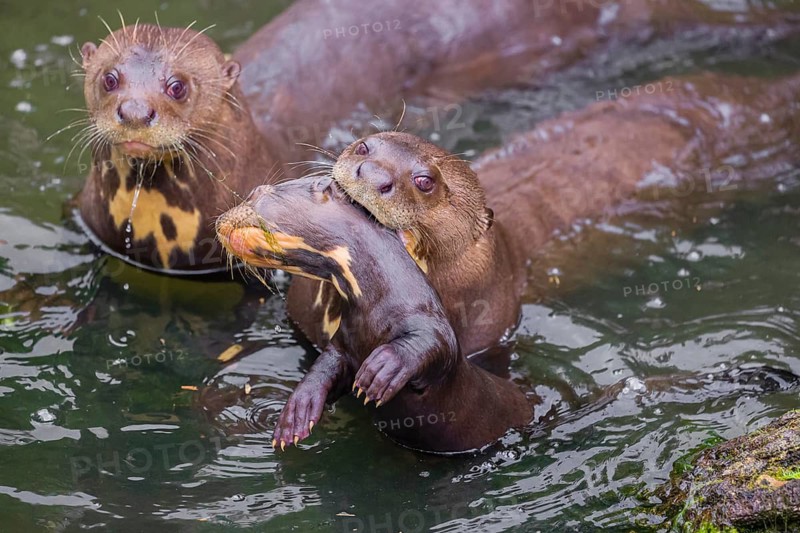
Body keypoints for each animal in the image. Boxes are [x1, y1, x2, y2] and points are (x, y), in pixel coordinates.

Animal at [215, 177, 532, 453]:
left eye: (256, 193)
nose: (220, 221)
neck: (376, 306)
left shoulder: (430, 326)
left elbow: (435, 345)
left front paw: (383, 368)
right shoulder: (344, 343)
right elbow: (325, 368)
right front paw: (297, 412)